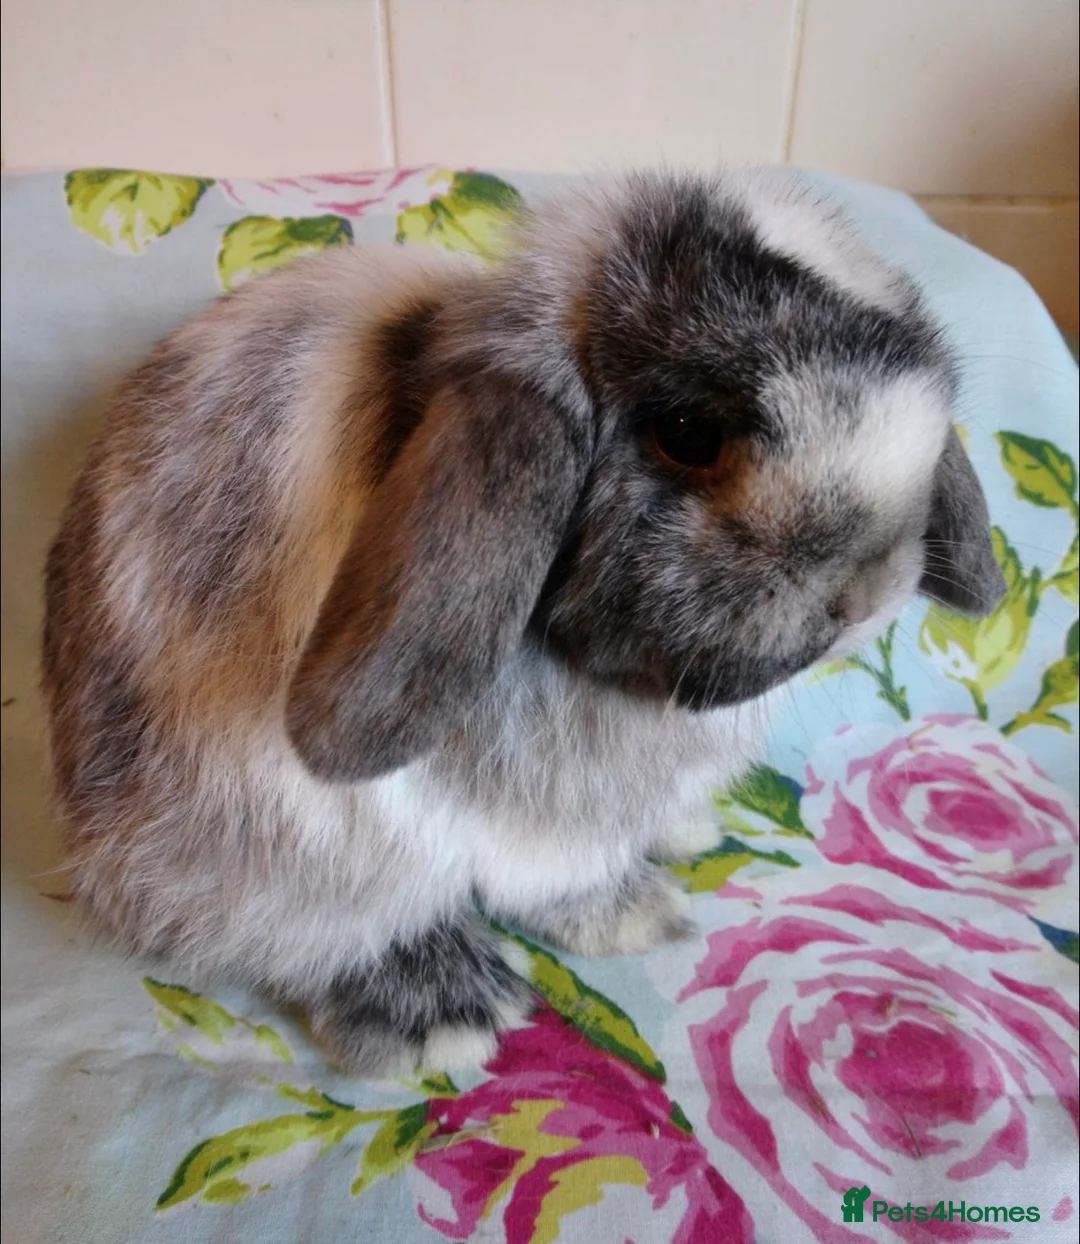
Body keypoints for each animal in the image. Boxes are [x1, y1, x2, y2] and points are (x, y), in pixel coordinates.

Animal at [41, 168, 1006, 1076]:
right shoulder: (517, 823)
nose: (866, 593)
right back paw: (443, 1012)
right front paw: (637, 916)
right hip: (278, 839)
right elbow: (554, 878)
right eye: (687, 432)